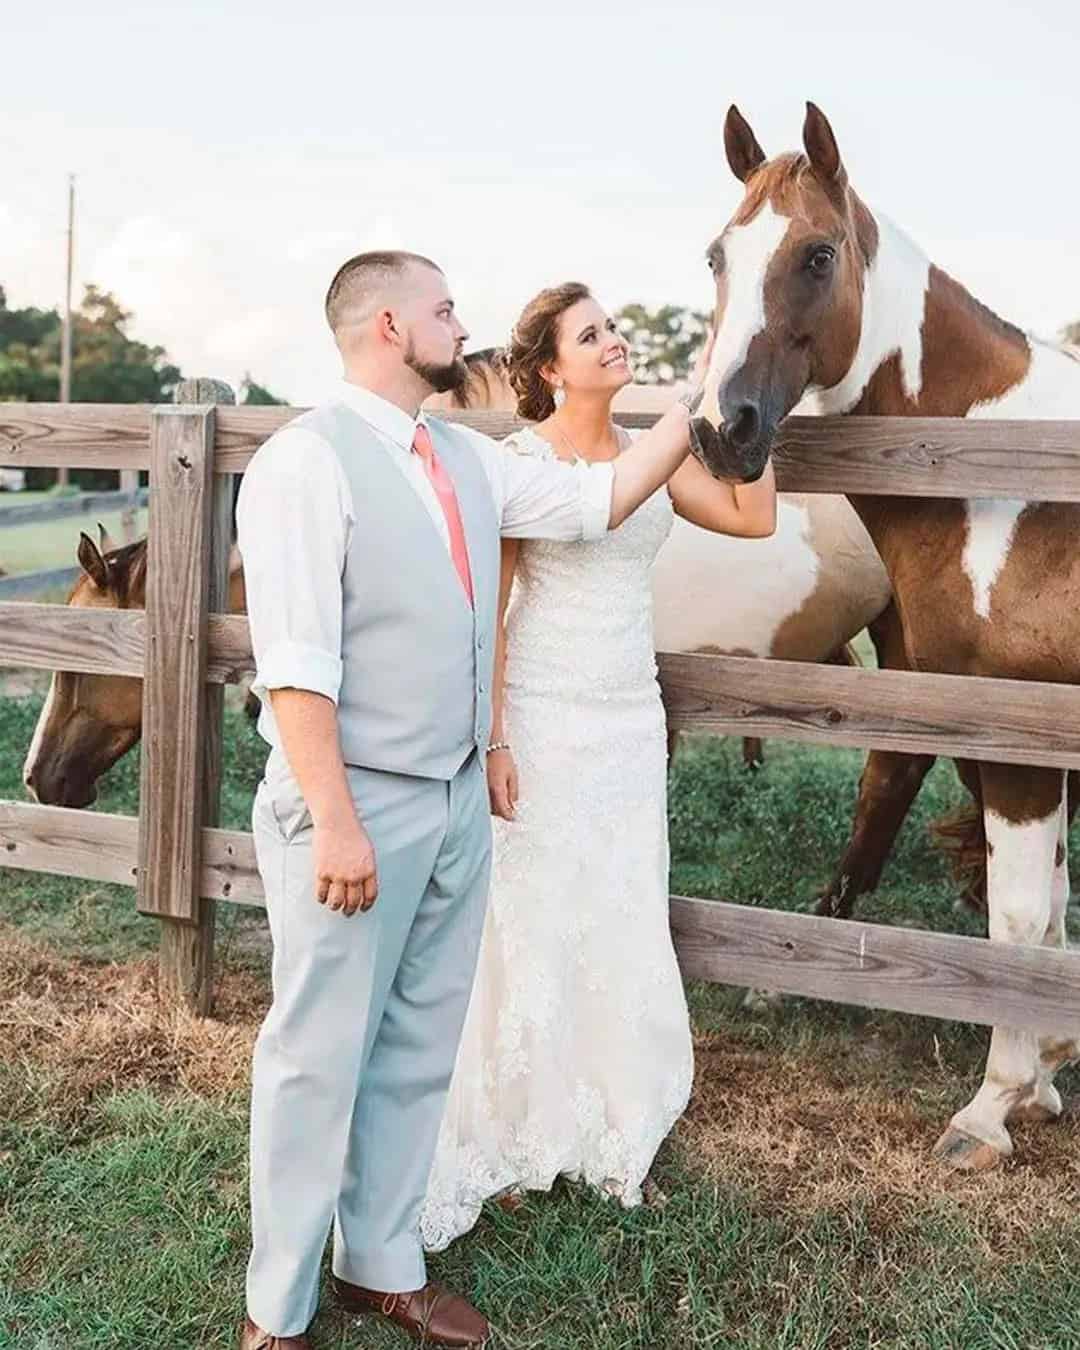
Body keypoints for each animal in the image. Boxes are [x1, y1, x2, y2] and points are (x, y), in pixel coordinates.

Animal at [691, 102, 1080, 1171]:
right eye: (718, 256)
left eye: (819, 255)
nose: (718, 430)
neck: (1012, 484)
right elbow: (1041, 909)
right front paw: (1042, 1080)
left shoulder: (1023, 745)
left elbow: (1017, 917)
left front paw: (991, 1107)